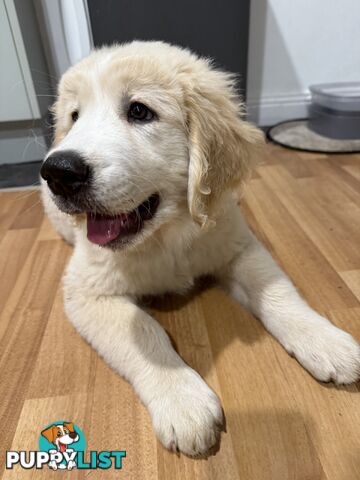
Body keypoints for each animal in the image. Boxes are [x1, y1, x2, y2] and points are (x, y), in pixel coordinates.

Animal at [40, 40, 358, 454]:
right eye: (75, 117)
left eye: (139, 111)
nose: (59, 172)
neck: (166, 234)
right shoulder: (87, 292)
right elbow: (144, 332)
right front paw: (182, 401)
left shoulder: (239, 246)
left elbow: (278, 292)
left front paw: (325, 340)